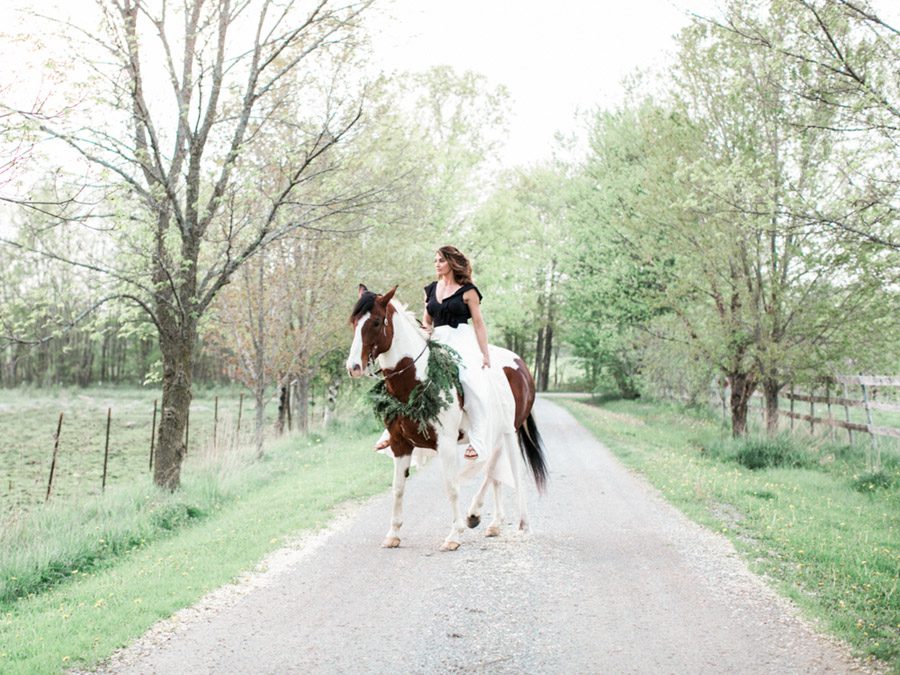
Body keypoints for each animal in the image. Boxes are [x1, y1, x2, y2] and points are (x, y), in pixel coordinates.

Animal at [344, 282, 544, 552]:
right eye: (354, 322)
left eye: (376, 322)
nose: (353, 367)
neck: (417, 381)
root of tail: (520, 365)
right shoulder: (400, 443)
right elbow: (398, 488)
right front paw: (393, 533)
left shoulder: (446, 443)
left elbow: (451, 487)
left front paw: (454, 535)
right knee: (494, 472)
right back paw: (492, 523)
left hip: (506, 432)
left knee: (501, 470)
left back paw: (495, 519)